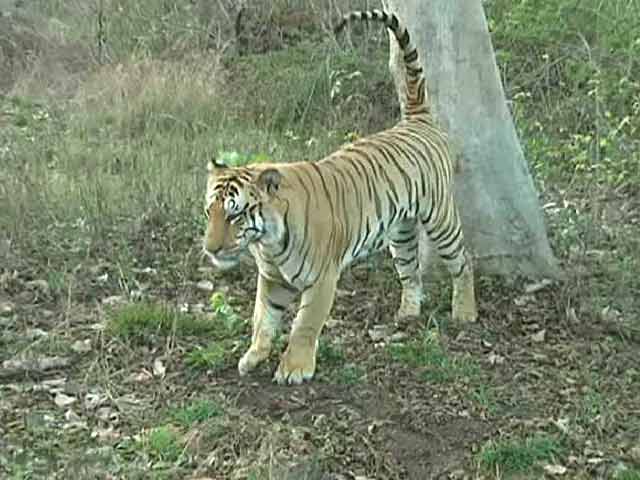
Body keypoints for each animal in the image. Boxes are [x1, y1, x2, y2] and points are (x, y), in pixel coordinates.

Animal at [203, 9, 477, 385]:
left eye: (234, 214)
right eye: (209, 213)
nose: (210, 249)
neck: (267, 241)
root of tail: (416, 120)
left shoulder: (322, 278)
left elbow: (304, 324)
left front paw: (294, 369)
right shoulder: (271, 278)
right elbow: (262, 320)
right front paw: (253, 357)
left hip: (440, 218)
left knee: (463, 262)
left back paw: (465, 313)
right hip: (400, 234)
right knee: (411, 271)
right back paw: (408, 312)